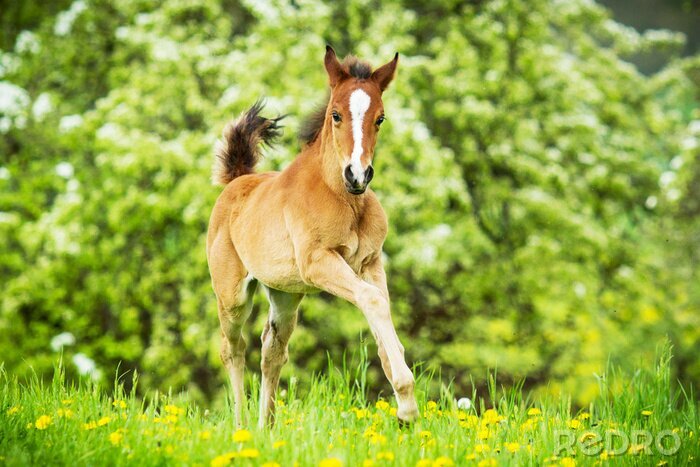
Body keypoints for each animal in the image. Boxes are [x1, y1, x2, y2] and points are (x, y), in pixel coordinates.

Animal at [205, 46, 418, 428]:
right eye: (336, 115)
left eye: (380, 118)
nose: (357, 175)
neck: (346, 200)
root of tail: (236, 181)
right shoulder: (318, 262)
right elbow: (373, 301)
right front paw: (407, 404)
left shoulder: (370, 262)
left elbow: (380, 309)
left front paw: (403, 405)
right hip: (232, 296)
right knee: (233, 348)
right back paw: (241, 426)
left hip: (285, 294)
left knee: (272, 349)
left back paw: (267, 427)